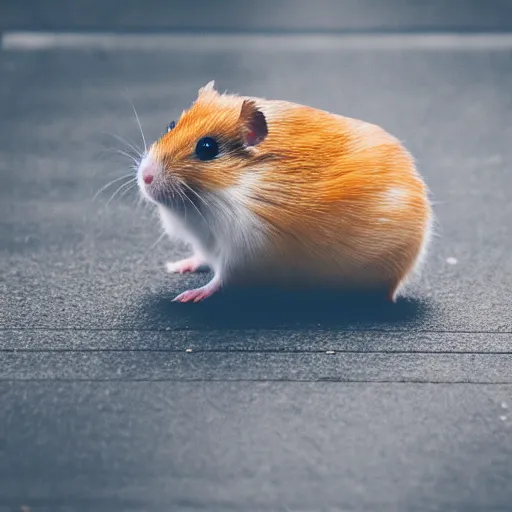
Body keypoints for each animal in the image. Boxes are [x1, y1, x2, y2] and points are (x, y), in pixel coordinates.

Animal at [136, 81, 432, 302]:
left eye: (207, 148)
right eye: (171, 125)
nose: (145, 177)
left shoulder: (244, 250)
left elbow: (220, 279)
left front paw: (189, 296)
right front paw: (175, 267)